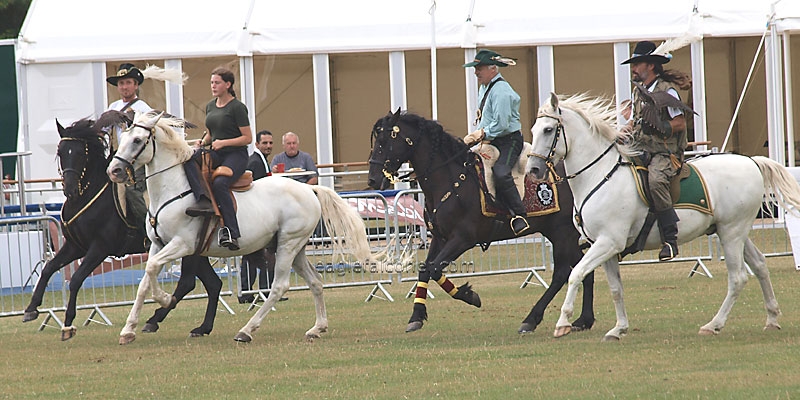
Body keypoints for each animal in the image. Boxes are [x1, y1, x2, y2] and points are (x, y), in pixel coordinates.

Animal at [22, 115, 222, 340]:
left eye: (81, 153)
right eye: (60, 152)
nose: (70, 189)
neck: (87, 197)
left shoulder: (99, 248)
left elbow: (75, 278)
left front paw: (68, 323)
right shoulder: (75, 246)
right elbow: (48, 268)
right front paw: (31, 308)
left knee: (190, 282)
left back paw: (155, 319)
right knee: (213, 284)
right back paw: (201, 327)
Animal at [105, 110, 378, 344]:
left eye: (137, 140)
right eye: (123, 138)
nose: (114, 170)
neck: (173, 191)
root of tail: (308, 189)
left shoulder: (183, 245)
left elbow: (154, 270)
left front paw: (163, 299)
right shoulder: (157, 245)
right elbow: (145, 279)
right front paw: (129, 329)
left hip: (288, 246)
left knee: (278, 286)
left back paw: (246, 330)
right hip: (295, 248)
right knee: (316, 282)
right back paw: (317, 328)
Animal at [368, 110, 592, 334]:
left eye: (385, 140)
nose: (372, 179)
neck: (450, 181)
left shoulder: (462, 239)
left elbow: (434, 269)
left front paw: (468, 295)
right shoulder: (440, 238)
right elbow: (425, 270)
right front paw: (416, 316)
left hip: (562, 233)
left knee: (562, 273)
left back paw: (532, 319)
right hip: (559, 233)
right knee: (582, 268)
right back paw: (583, 320)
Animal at [524, 93, 800, 340]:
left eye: (548, 130)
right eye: (534, 130)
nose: (533, 170)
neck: (600, 175)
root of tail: (751, 162)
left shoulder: (608, 242)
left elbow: (576, 274)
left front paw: (563, 322)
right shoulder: (604, 248)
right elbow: (615, 289)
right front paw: (619, 329)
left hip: (731, 233)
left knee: (738, 277)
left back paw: (713, 325)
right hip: (733, 231)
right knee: (760, 265)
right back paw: (771, 318)